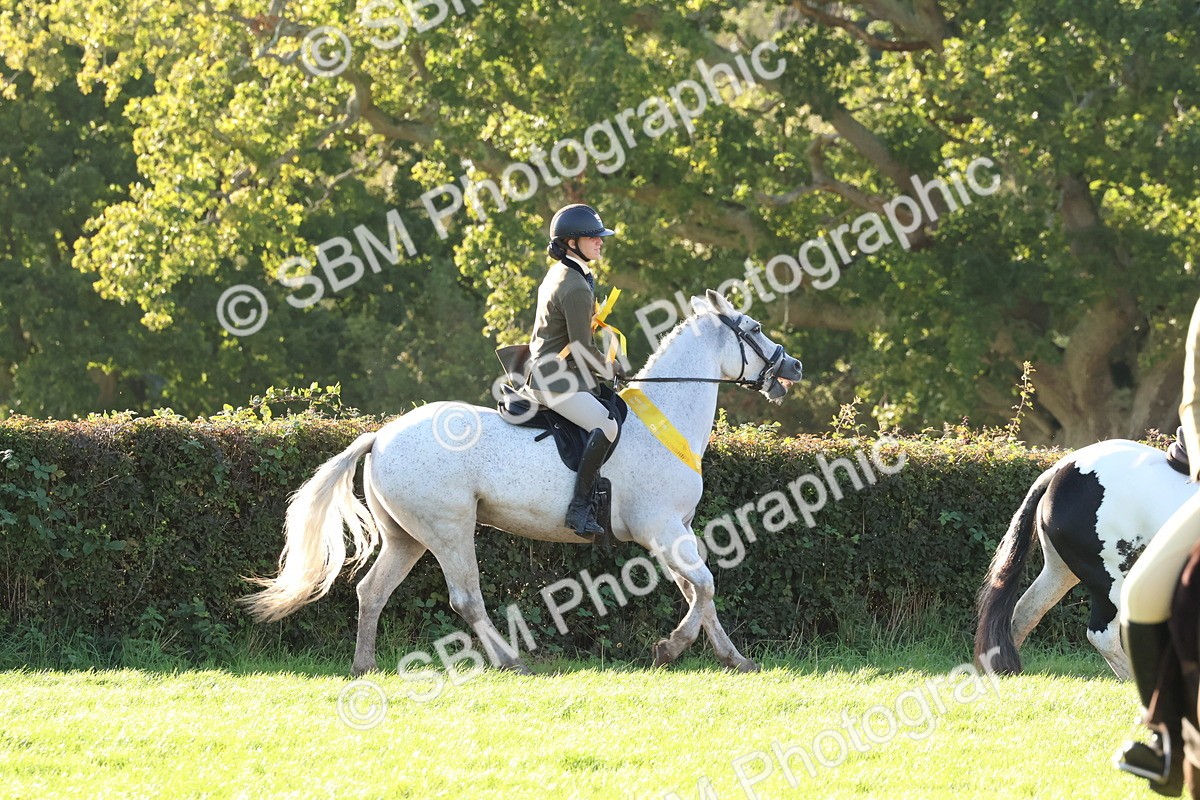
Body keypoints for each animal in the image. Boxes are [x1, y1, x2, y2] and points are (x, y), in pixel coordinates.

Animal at [241, 289, 804, 675]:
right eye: (754, 327)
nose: (793, 366)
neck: (665, 419)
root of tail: (380, 436)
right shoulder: (659, 528)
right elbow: (704, 584)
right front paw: (671, 648)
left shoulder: (674, 530)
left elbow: (696, 589)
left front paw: (732, 657)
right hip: (449, 528)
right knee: (466, 599)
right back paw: (510, 661)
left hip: (406, 536)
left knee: (371, 592)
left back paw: (365, 666)